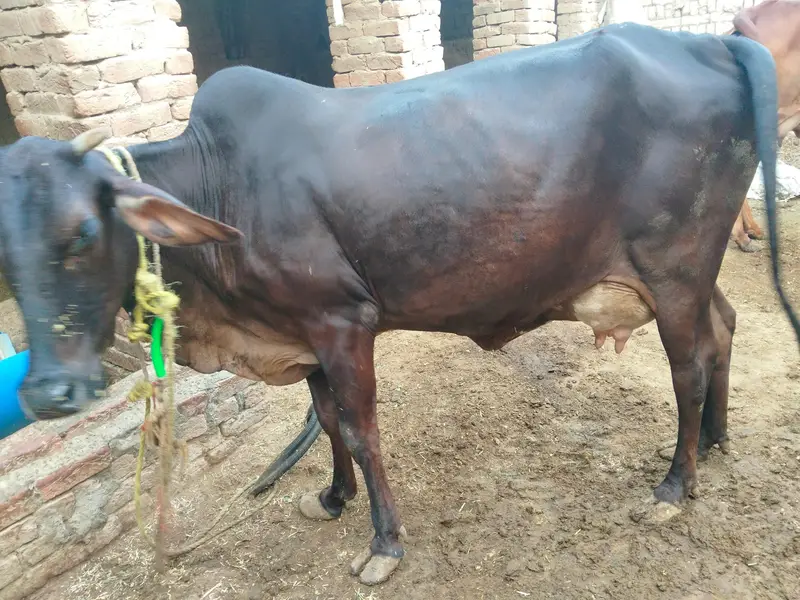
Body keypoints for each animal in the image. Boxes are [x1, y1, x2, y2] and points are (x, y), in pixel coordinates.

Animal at [0, 23, 798, 586]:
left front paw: (383, 543)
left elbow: (360, 430)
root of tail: (709, 41)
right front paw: (331, 498)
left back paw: (673, 484)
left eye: (83, 233)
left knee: (687, 369)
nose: (48, 393)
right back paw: (717, 441)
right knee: (724, 330)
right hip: (690, 271)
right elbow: (325, 421)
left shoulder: (343, 321)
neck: (219, 184)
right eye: (7, 261)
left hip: (673, 269)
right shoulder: (303, 333)